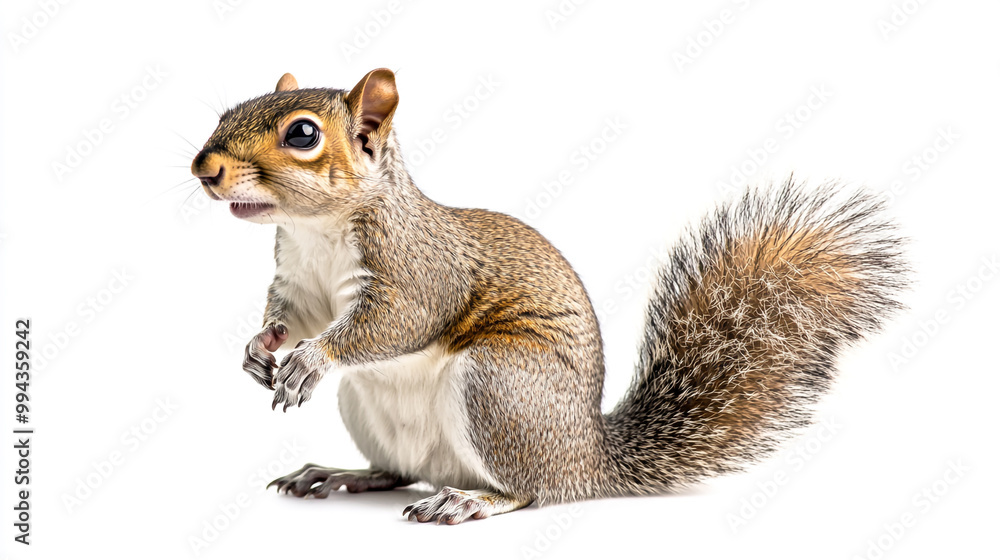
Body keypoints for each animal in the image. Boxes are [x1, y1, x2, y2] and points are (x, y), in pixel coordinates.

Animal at [190, 68, 907, 524]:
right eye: (225, 112)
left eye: (302, 135)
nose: (205, 169)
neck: (316, 231)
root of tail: (588, 459)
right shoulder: (299, 282)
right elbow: (294, 317)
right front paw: (260, 347)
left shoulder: (421, 271)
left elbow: (395, 323)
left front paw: (312, 359)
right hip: (374, 409)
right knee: (399, 470)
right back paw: (342, 474)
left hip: (501, 386)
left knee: (531, 491)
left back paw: (472, 501)